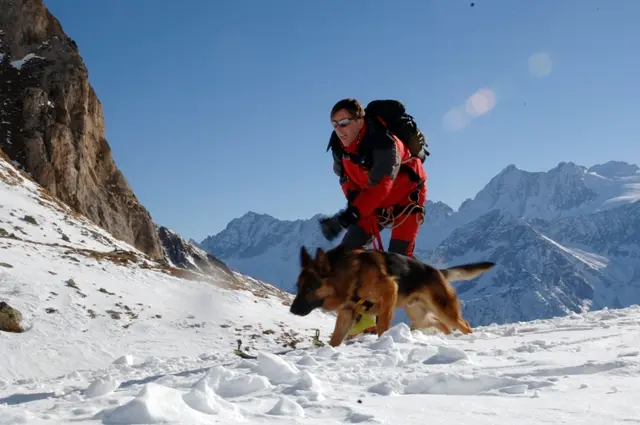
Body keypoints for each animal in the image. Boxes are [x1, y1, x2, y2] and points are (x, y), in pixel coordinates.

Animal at [290, 243, 496, 346]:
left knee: (463, 324)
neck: (350, 276)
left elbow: (382, 325)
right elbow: (335, 338)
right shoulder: (347, 314)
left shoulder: (389, 291)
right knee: (441, 325)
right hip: (421, 317)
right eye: (298, 287)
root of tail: (437, 271)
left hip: (443, 310)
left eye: (308, 289)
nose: (292, 311)